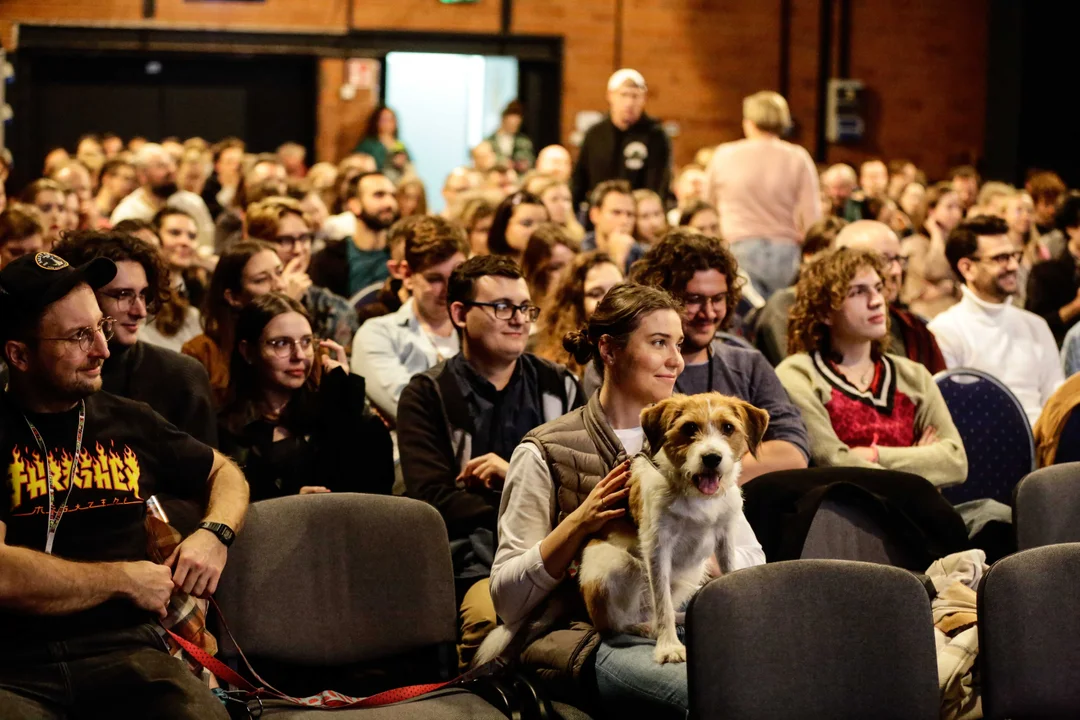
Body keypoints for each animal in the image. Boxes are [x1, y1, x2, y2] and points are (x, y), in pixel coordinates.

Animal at [578, 395, 773, 664]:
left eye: (728, 427)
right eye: (689, 428)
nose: (712, 457)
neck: (694, 493)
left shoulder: (725, 538)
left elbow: (729, 572)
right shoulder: (658, 548)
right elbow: (664, 604)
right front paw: (668, 646)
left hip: (693, 571)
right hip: (616, 562)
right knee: (619, 622)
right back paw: (647, 628)